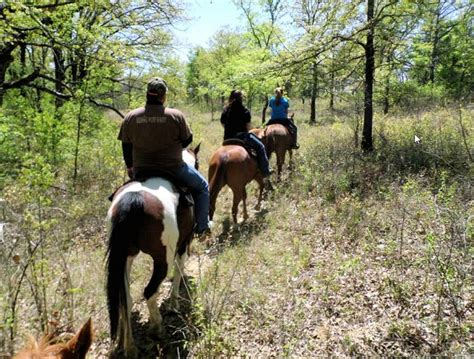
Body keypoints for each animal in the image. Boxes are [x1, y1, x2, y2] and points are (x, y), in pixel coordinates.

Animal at [106, 145, 201, 358]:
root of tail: (133, 200)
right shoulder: (183, 244)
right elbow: (179, 270)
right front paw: (174, 304)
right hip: (162, 258)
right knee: (149, 292)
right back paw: (157, 328)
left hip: (124, 258)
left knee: (125, 298)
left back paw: (129, 347)